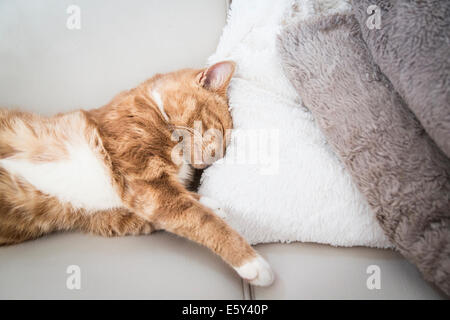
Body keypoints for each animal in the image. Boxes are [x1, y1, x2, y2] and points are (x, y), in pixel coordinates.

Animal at [0, 61, 274, 286]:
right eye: (219, 130)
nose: (214, 159)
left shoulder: (121, 214)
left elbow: (182, 211)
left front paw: (209, 202)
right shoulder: (148, 184)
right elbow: (202, 221)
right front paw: (251, 262)